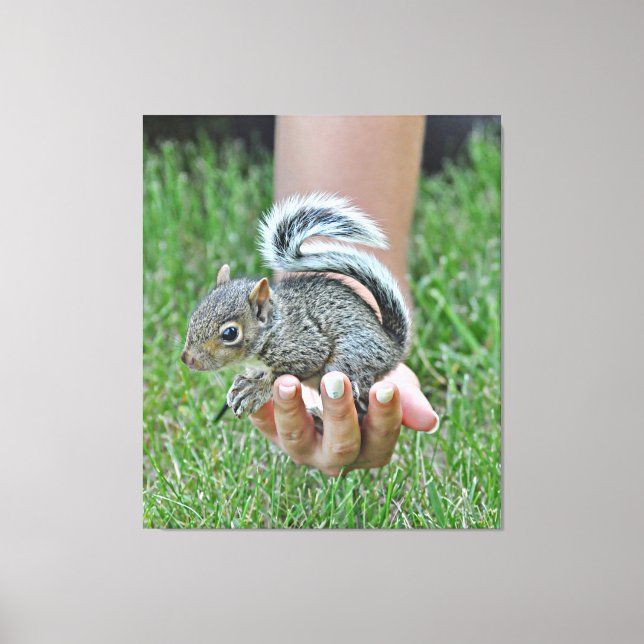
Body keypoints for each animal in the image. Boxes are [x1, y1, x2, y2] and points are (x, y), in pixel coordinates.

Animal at [181, 192, 411, 420]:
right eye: (195, 316)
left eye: (230, 333)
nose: (187, 359)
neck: (274, 329)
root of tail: (393, 345)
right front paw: (242, 382)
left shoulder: (305, 347)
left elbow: (280, 374)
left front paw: (256, 390)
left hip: (353, 356)